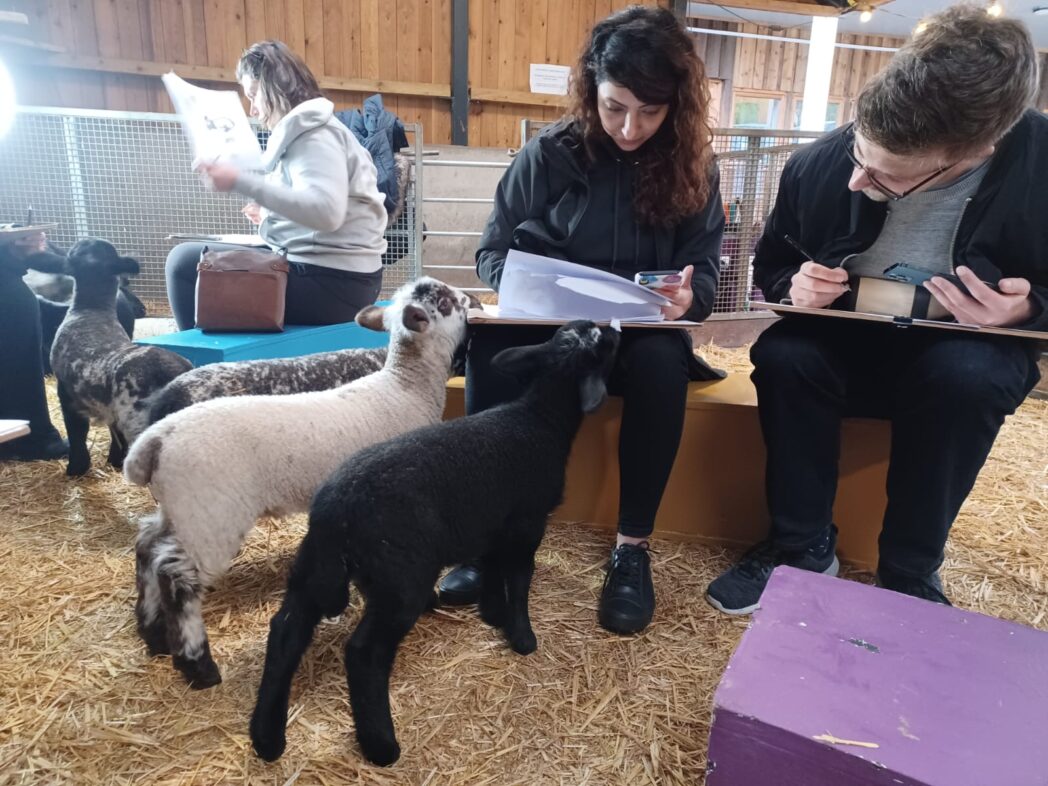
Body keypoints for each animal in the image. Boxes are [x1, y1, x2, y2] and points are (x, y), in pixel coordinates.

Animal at [48, 239, 194, 476]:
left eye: (80, 249)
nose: (79, 242)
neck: (91, 310)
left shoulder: (67, 393)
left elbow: (77, 431)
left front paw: (76, 468)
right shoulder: (110, 407)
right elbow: (113, 431)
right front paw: (115, 460)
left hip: (139, 417)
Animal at [249, 320, 621, 767]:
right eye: (600, 341)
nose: (612, 327)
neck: (541, 419)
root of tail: (334, 513)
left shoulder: (493, 523)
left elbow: (492, 568)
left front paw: (492, 614)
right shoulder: (527, 524)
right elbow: (519, 579)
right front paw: (523, 638)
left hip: (313, 567)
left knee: (285, 632)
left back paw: (266, 737)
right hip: (400, 578)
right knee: (364, 653)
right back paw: (381, 745)